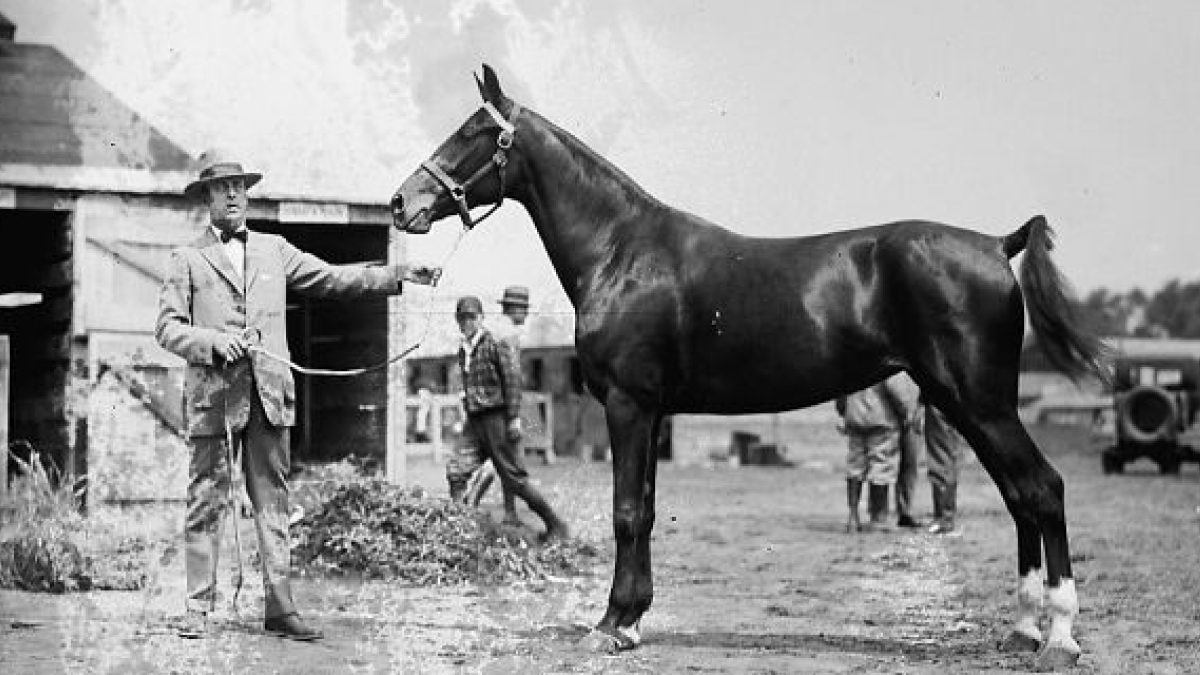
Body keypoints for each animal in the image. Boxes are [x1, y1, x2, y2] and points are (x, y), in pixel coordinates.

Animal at [391, 65, 1107, 670]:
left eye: (473, 133)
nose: (402, 203)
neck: (621, 252)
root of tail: (996, 244)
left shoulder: (627, 403)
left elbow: (626, 511)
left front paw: (610, 626)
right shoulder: (653, 412)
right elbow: (646, 509)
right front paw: (632, 619)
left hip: (981, 401)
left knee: (1043, 489)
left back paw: (1060, 637)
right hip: (963, 402)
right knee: (1020, 495)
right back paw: (1024, 628)